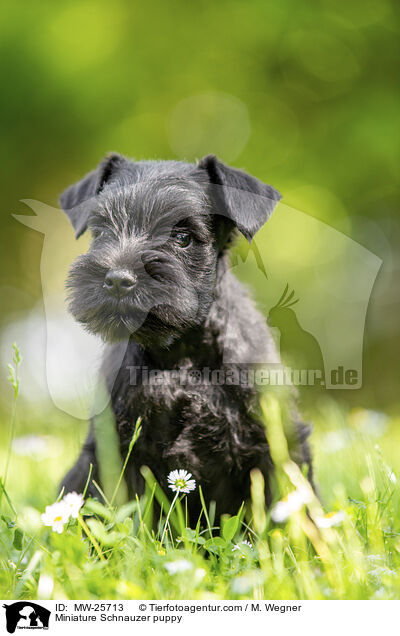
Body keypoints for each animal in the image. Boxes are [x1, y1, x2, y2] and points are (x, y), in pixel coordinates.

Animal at [60, 153, 312, 520]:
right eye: (102, 230)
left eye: (182, 237)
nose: (118, 279)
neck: (179, 354)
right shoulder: (117, 448)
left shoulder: (272, 440)